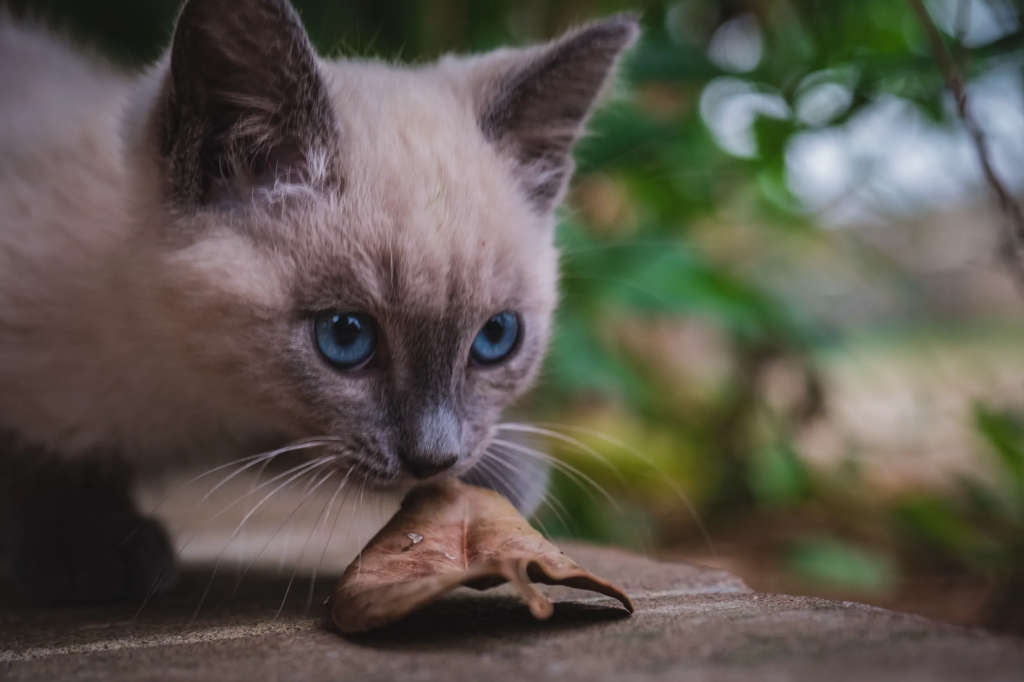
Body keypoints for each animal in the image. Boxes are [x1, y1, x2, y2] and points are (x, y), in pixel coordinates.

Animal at [0, 0, 634, 606]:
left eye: (496, 337)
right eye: (346, 336)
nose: (435, 458)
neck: (198, 399)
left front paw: (503, 473)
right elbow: (35, 454)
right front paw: (90, 545)